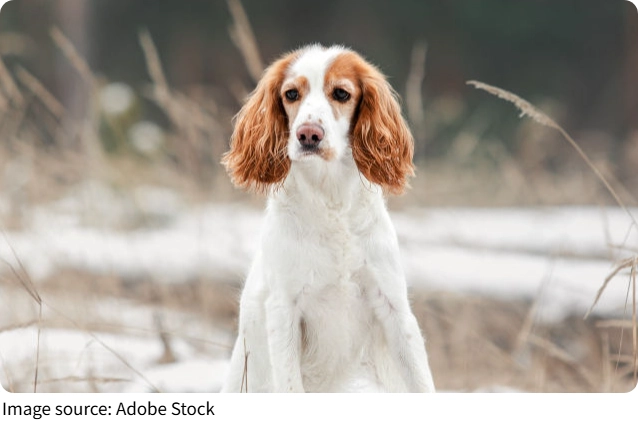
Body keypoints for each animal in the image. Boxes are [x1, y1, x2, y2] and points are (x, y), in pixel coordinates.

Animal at [221, 44, 435, 392]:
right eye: (291, 93)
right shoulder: (284, 310)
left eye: (341, 93)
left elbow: (422, 381)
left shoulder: (393, 307)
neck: (330, 200)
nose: (309, 134)